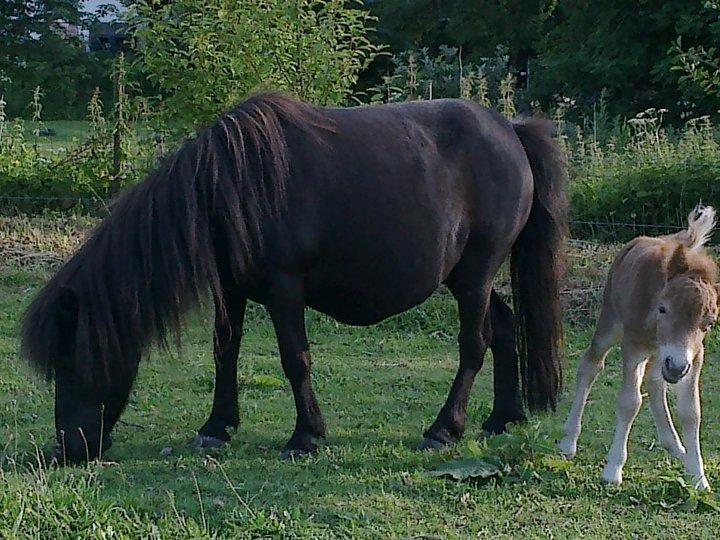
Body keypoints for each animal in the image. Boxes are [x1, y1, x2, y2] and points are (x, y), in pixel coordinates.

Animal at [19, 93, 564, 460]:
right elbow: (225, 353)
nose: (68, 449)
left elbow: (294, 359)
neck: (229, 186)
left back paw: (444, 429)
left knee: (474, 343)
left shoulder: (284, 291)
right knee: (503, 326)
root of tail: (510, 131)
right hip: (466, 277)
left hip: (475, 274)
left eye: (70, 361)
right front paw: (216, 427)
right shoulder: (231, 291)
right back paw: (503, 417)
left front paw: (306, 436)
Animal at [560, 208, 716, 490]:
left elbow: (691, 412)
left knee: (655, 382)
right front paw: (613, 470)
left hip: (660, 354)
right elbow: (629, 402)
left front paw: (699, 477)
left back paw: (676, 446)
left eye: (709, 323)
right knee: (590, 365)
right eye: (663, 308)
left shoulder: (694, 356)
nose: (677, 367)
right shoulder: (632, 346)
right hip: (611, 322)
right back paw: (568, 441)